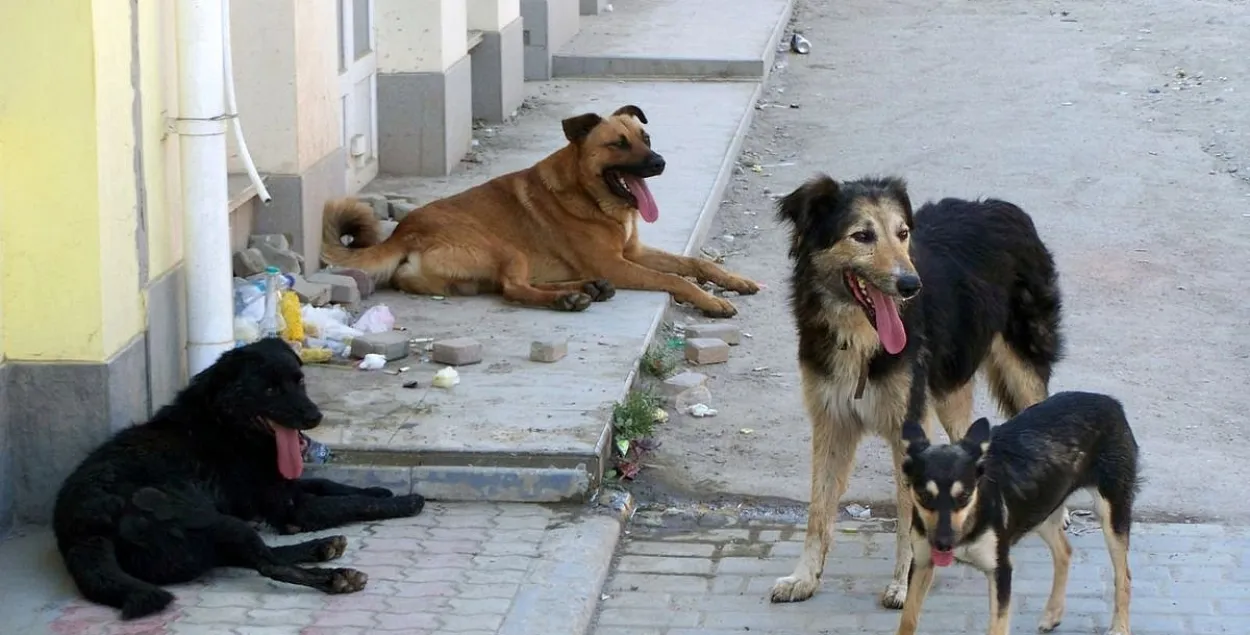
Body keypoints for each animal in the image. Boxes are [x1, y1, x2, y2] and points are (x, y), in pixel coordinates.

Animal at [52, 337, 425, 620]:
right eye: (270, 389)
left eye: (299, 380)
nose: (315, 417)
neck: (226, 424)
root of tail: (83, 529)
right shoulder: (293, 507)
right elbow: (348, 503)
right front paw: (404, 501)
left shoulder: (280, 487)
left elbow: (331, 486)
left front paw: (378, 489)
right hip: (211, 519)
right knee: (267, 564)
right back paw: (335, 576)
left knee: (253, 555)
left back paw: (323, 547)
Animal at [317, 103, 755, 317]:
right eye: (618, 144)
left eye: (645, 138)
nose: (660, 163)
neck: (589, 195)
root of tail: (403, 233)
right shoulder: (619, 264)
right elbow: (677, 279)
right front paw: (711, 301)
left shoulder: (632, 254)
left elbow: (695, 264)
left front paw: (733, 280)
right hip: (505, 248)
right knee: (513, 288)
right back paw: (571, 298)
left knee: (511, 286)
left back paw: (585, 289)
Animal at [765, 176, 1070, 607]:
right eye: (862, 236)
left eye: (902, 233)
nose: (911, 285)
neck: (861, 337)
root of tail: (1000, 206)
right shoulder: (832, 421)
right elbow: (818, 511)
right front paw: (804, 577)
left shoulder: (908, 424)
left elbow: (907, 515)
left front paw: (905, 583)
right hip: (948, 387)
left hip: (1021, 366)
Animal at [895, 390, 1140, 635]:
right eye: (924, 496)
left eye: (964, 496)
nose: (943, 544)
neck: (972, 517)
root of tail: (1108, 400)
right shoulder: (922, 563)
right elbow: (908, 620)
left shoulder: (1001, 571)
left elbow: (997, 627)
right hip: (1042, 507)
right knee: (1064, 551)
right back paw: (1053, 613)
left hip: (1111, 511)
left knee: (1124, 575)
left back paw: (1120, 626)